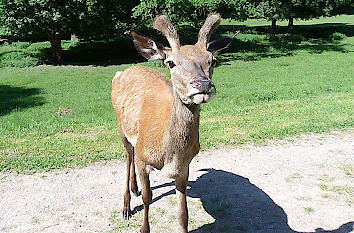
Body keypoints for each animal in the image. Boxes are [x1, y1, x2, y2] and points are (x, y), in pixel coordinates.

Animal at [111, 13, 238, 233]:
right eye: (171, 63)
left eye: (212, 60)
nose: (202, 84)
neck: (170, 154)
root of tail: (122, 72)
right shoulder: (144, 159)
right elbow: (148, 198)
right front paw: (143, 227)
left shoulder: (184, 167)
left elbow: (183, 213)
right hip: (121, 126)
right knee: (128, 157)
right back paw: (126, 206)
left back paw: (134, 190)